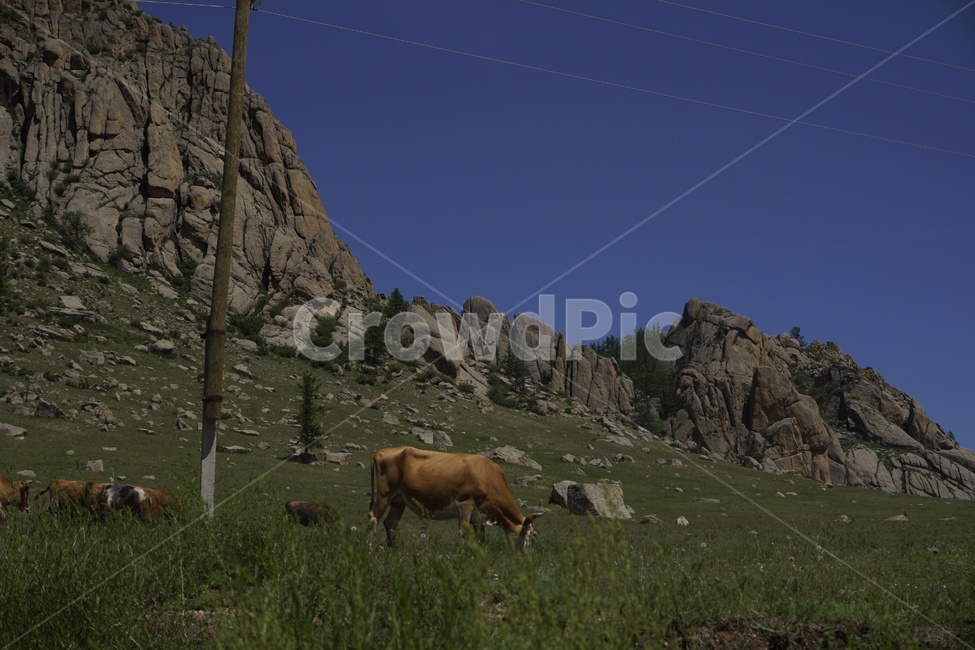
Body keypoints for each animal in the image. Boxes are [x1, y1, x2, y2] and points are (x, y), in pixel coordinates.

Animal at [368, 446, 544, 551]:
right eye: (534, 535)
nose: (530, 558)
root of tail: (382, 451)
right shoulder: (465, 504)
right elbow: (464, 532)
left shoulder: (479, 514)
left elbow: (481, 537)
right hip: (384, 494)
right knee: (373, 517)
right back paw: (370, 546)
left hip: (399, 500)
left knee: (390, 522)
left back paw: (395, 548)